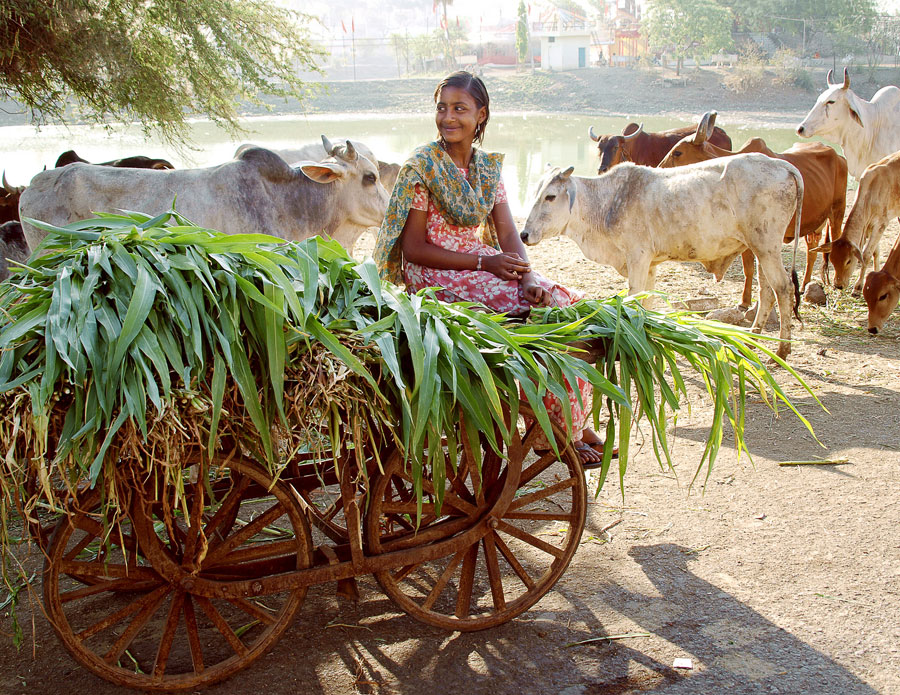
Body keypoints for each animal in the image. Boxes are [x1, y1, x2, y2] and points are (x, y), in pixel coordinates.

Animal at [520, 156, 800, 362]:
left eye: (550, 196)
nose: (524, 234)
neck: (607, 203)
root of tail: (783, 165)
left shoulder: (638, 257)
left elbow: (634, 297)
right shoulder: (651, 264)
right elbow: (647, 302)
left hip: (766, 245)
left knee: (783, 288)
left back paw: (782, 351)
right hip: (760, 248)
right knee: (767, 291)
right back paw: (754, 338)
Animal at [656, 111, 848, 308]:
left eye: (677, 152)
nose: (658, 169)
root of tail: (838, 157)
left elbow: (750, 269)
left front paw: (744, 301)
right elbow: (750, 270)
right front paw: (746, 300)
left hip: (837, 211)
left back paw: (838, 283)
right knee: (812, 251)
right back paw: (804, 286)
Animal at [812, 151, 900, 292]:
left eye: (848, 261)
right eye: (832, 260)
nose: (839, 285)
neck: (871, 191)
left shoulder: (881, 224)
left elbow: (866, 254)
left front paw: (858, 287)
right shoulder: (868, 227)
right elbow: (875, 252)